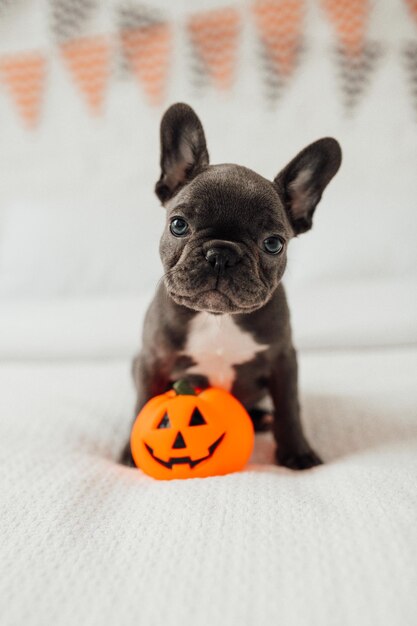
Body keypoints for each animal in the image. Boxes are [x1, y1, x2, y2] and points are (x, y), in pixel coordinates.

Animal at [120, 102, 342, 468]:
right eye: (178, 225)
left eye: (273, 244)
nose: (221, 254)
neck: (217, 318)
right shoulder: (153, 359)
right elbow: (143, 403)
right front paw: (129, 452)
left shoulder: (284, 360)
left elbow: (289, 408)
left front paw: (297, 452)